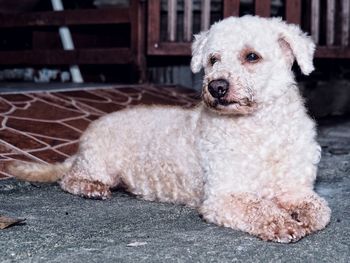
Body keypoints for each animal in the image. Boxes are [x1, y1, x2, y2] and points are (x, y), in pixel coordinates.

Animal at [8, 16, 330, 243]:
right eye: (213, 59)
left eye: (252, 56)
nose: (216, 87)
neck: (262, 130)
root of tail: (83, 143)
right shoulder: (223, 196)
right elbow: (259, 208)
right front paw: (283, 222)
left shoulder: (296, 189)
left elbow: (320, 211)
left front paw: (300, 215)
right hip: (98, 165)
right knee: (70, 179)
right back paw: (91, 187)